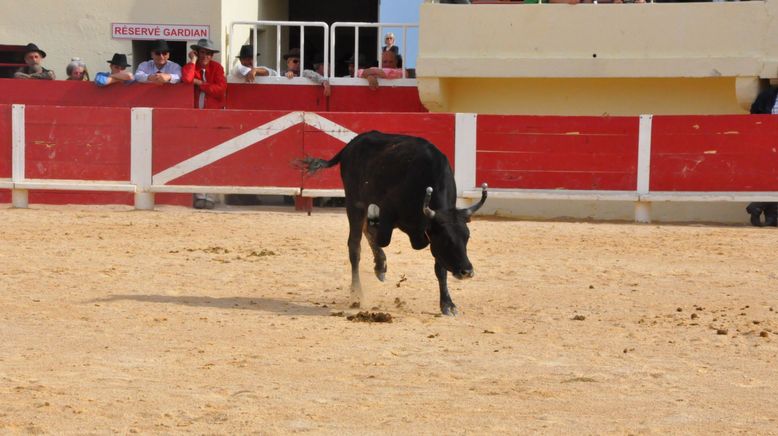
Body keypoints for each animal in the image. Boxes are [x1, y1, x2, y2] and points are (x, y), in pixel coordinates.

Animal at [298, 130, 484, 316]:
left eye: (467, 238)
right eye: (447, 240)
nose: (467, 271)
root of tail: (352, 143)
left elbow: (440, 268)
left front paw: (448, 304)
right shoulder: (387, 212)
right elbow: (381, 239)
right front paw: (380, 267)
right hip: (354, 203)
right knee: (355, 246)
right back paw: (358, 291)